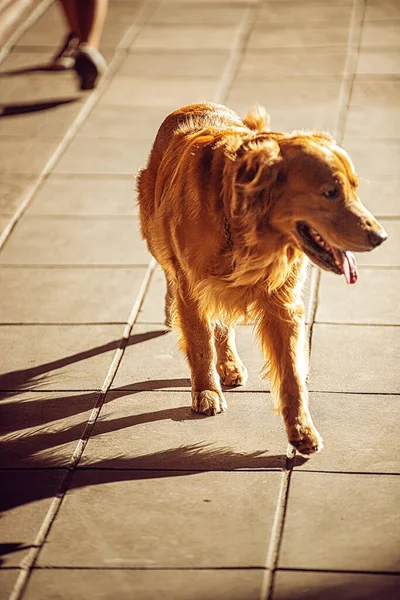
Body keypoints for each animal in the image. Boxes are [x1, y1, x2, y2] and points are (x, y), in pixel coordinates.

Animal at [138, 103, 388, 454]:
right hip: (156, 236)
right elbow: (200, 343)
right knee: (171, 278)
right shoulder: (193, 287)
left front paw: (301, 429)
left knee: (222, 325)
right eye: (330, 192)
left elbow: (292, 373)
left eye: (354, 189)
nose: (381, 237)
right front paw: (206, 391)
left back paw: (229, 364)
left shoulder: (281, 304)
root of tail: (194, 105)